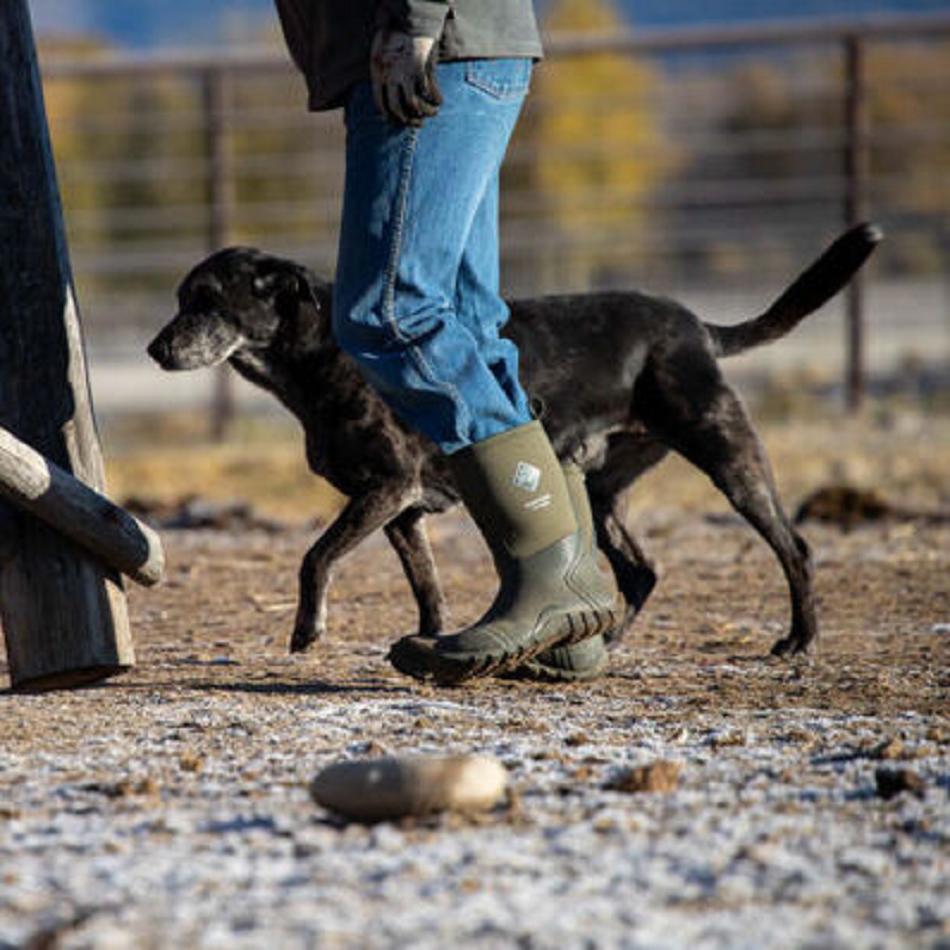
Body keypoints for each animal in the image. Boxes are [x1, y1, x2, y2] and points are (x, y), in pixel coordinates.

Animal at [149, 225, 884, 660]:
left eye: (208, 301)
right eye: (182, 298)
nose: (155, 351)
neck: (326, 352)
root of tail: (698, 327)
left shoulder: (385, 488)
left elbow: (314, 557)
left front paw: (308, 631)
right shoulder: (401, 510)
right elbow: (427, 585)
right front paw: (429, 640)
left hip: (727, 454)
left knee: (794, 547)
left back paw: (799, 640)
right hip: (602, 488)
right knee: (641, 571)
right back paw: (604, 639)